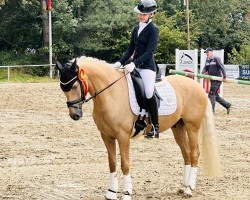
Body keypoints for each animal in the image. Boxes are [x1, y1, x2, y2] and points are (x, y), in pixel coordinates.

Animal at [55, 56, 222, 200]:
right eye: (63, 89)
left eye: (74, 86)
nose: (75, 115)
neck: (110, 93)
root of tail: (197, 86)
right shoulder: (106, 135)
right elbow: (112, 162)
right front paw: (111, 192)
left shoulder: (123, 136)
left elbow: (124, 163)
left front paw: (127, 193)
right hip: (178, 127)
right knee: (186, 153)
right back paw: (183, 186)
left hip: (192, 126)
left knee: (194, 153)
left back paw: (189, 189)